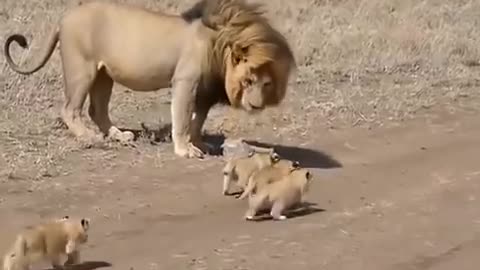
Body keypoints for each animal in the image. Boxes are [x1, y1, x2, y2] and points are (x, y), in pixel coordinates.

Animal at [4, 0, 296, 159]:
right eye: (248, 80)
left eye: (266, 83)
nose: (256, 105)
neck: (219, 44)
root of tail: (64, 19)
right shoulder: (185, 81)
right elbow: (182, 119)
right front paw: (185, 149)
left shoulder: (204, 91)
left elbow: (197, 120)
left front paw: (200, 143)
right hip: (82, 69)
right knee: (70, 109)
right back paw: (91, 137)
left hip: (104, 74)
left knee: (97, 109)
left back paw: (118, 135)